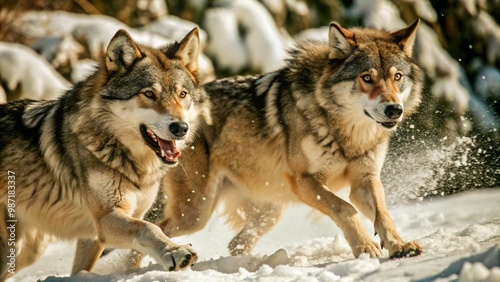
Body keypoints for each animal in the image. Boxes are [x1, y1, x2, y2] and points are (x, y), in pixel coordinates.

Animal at [0, 27, 211, 280]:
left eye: (182, 94)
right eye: (149, 94)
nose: (180, 128)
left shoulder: (96, 234)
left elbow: (83, 267)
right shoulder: (106, 217)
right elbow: (149, 227)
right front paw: (175, 251)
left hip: (28, 250)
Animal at [158, 18, 424, 258]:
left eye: (397, 77)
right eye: (367, 78)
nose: (394, 110)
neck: (349, 136)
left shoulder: (365, 179)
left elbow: (384, 214)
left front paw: (400, 245)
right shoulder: (305, 180)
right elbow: (345, 208)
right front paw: (365, 247)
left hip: (270, 210)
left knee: (236, 243)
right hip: (196, 213)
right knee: (157, 227)